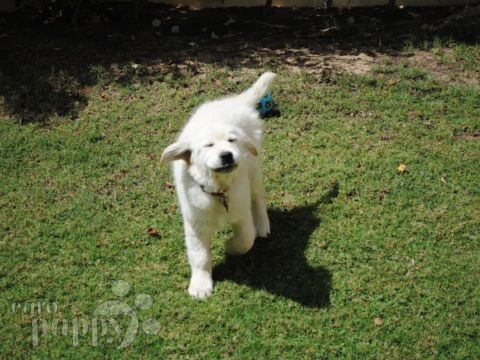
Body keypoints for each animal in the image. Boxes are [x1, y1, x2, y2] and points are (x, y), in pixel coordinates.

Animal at [160, 72, 276, 298]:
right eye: (208, 145)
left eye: (232, 141)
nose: (227, 155)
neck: (219, 190)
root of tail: (236, 102)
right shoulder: (194, 223)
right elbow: (199, 256)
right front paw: (200, 284)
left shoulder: (241, 212)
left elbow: (246, 240)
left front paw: (229, 246)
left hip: (253, 167)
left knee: (258, 196)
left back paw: (262, 224)